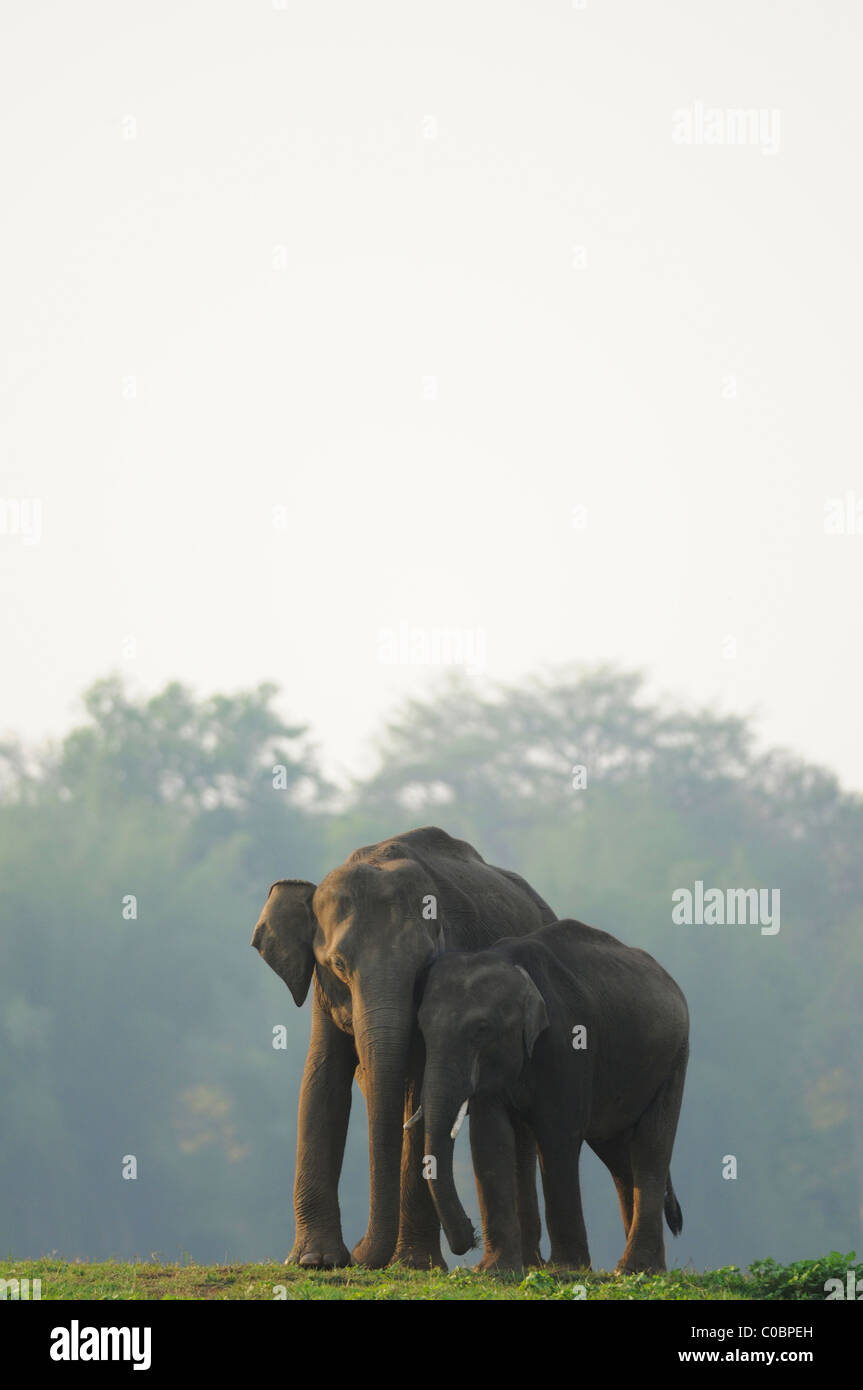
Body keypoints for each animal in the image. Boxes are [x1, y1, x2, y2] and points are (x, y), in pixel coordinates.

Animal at [252, 822, 555, 1273]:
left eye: (423, 966)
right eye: (339, 964)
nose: (358, 1254)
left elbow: (418, 1095)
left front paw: (415, 1264)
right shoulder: (323, 992)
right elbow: (322, 1081)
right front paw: (314, 1260)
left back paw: (529, 1263)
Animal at [414, 917, 689, 1273]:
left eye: (482, 1029)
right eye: (421, 1029)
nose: (468, 1238)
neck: (508, 961)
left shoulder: (568, 1042)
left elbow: (558, 1135)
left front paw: (566, 1268)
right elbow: (490, 1138)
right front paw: (493, 1271)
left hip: (674, 1060)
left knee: (651, 1146)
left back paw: (634, 1268)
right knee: (619, 1156)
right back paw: (637, 1267)